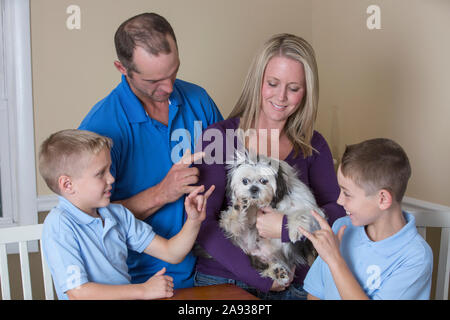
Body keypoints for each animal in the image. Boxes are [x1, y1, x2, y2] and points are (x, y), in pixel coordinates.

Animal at [219, 151, 326, 286]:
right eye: (245, 181)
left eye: (264, 181)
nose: (254, 188)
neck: (273, 204)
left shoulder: (312, 210)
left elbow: (300, 213)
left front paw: (295, 230)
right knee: (236, 227)